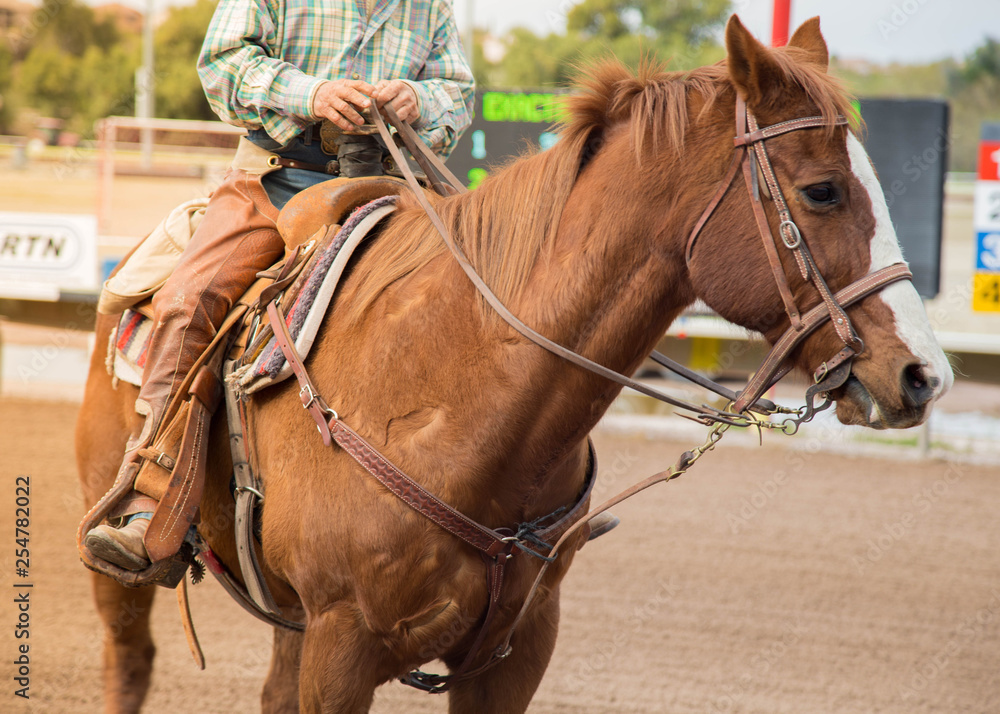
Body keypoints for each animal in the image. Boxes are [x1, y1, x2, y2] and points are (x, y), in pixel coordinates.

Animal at [76, 15, 952, 713]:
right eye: (823, 190)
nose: (925, 375)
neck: (452, 388)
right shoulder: (343, 644)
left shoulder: (513, 653)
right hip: (124, 563)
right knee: (130, 662)